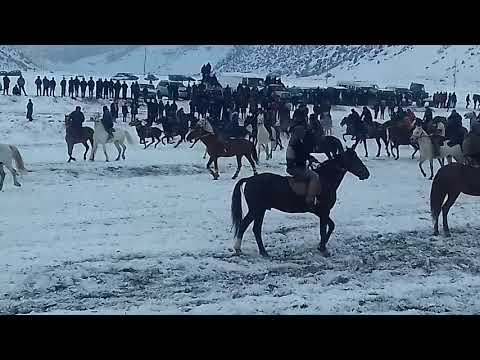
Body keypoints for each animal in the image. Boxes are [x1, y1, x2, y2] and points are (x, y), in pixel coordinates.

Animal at [231, 147, 370, 258]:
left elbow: (331, 226)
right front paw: (323, 249)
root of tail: (250, 179)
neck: (325, 180)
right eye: (355, 160)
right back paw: (240, 249)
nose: (366, 174)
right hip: (256, 209)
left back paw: (262, 252)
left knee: (256, 229)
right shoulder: (324, 211)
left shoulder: (321, 212)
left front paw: (321, 246)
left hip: (261, 210)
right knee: (244, 225)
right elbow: (324, 229)